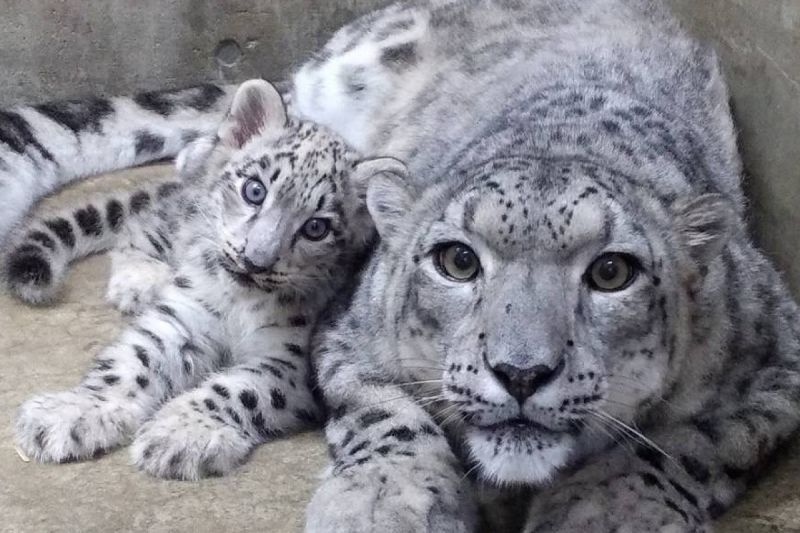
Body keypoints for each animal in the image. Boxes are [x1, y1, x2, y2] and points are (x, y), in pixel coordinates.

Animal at [6, 81, 404, 480]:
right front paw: (73, 411)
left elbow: (239, 389)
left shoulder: (292, 362)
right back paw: (140, 281)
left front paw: (181, 433)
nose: (255, 260)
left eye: (317, 228)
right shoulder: (182, 317)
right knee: (143, 225)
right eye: (254, 190)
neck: (239, 304)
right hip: (178, 221)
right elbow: (132, 360)